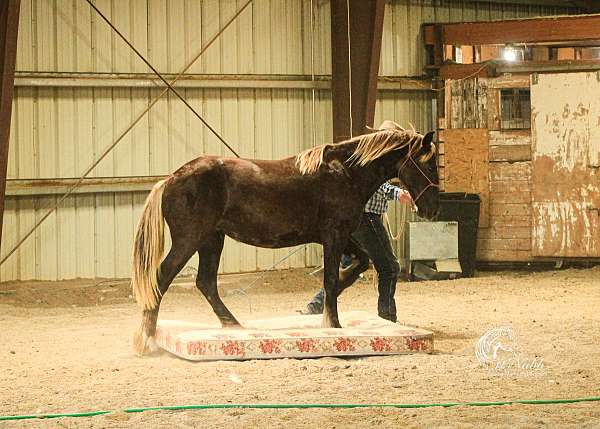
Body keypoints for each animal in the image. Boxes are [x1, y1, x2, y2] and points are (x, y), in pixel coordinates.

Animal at [132, 119, 440, 354]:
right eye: (429, 165)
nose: (432, 208)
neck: (345, 173)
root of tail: (170, 179)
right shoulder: (334, 235)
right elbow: (331, 278)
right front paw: (332, 323)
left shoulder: (341, 238)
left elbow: (358, 264)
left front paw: (327, 303)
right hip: (190, 240)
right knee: (162, 278)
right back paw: (146, 339)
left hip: (212, 240)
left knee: (205, 282)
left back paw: (234, 325)